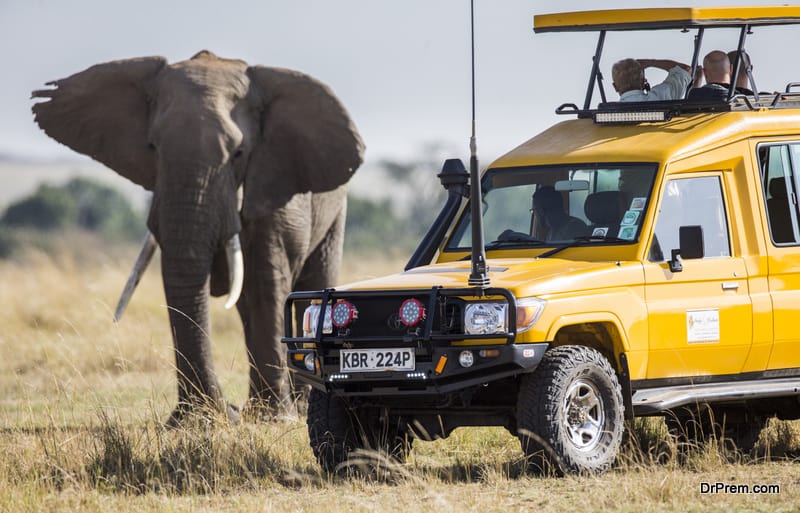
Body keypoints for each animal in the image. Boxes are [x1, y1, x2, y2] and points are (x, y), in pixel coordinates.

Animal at [32, 51, 364, 424]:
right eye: (153, 147)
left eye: (238, 153)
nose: (224, 411)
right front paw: (201, 422)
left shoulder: (275, 182)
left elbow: (266, 283)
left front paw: (274, 418)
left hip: (335, 210)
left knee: (310, 283)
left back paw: (298, 404)